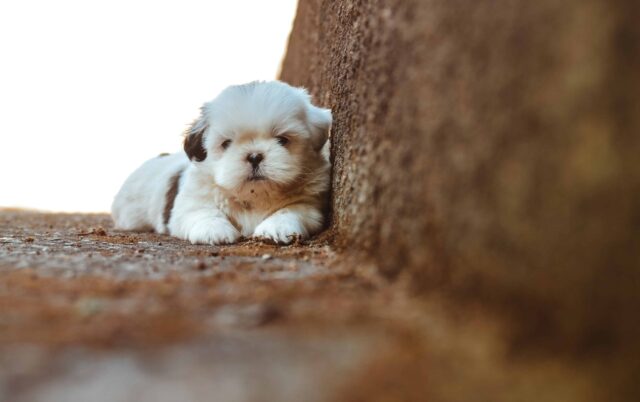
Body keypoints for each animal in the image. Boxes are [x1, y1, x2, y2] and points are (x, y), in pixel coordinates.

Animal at [111, 81, 330, 245]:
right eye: (226, 143)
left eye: (282, 140)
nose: (254, 156)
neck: (253, 196)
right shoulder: (190, 203)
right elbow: (203, 212)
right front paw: (214, 230)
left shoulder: (308, 205)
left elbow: (289, 211)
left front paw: (275, 228)